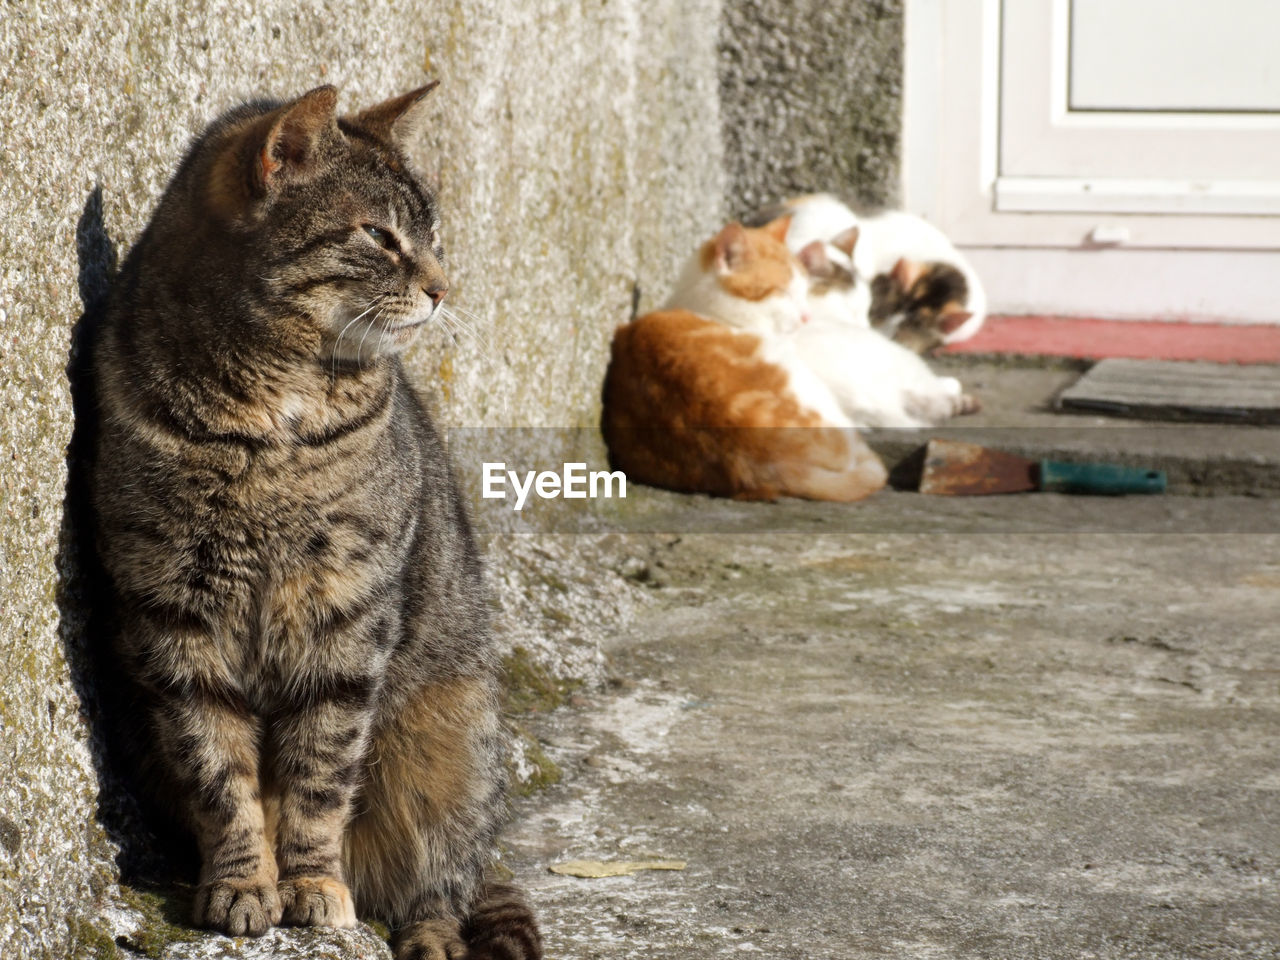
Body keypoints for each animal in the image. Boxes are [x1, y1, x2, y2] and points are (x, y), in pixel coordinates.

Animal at [88, 84, 540, 960]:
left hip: (451, 746)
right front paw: (242, 884)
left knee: (444, 879)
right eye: (381, 236)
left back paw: (428, 935)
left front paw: (311, 885)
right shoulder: (176, 615)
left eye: (432, 237)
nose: (443, 286)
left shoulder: (346, 616)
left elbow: (320, 774)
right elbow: (219, 773)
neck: (271, 416)